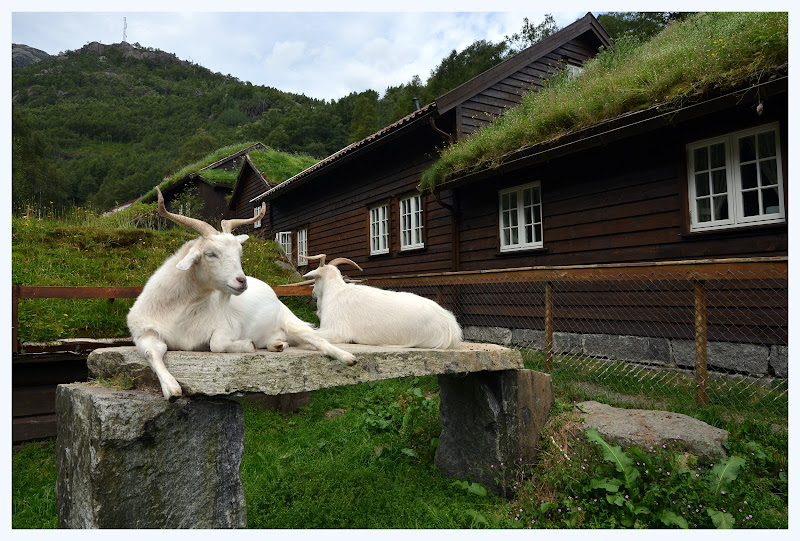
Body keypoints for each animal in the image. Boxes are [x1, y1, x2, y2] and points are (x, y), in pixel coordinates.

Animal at [127, 189, 356, 396]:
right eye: (210, 254)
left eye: (239, 252)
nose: (242, 281)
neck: (178, 311)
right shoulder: (144, 332)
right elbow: (152, 352)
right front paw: (171, 388)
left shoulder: (228, 326)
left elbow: (216, 344)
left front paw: (246, 344)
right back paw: (276, 344)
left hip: (291, 321)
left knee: (317, 339)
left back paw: (347, 357)